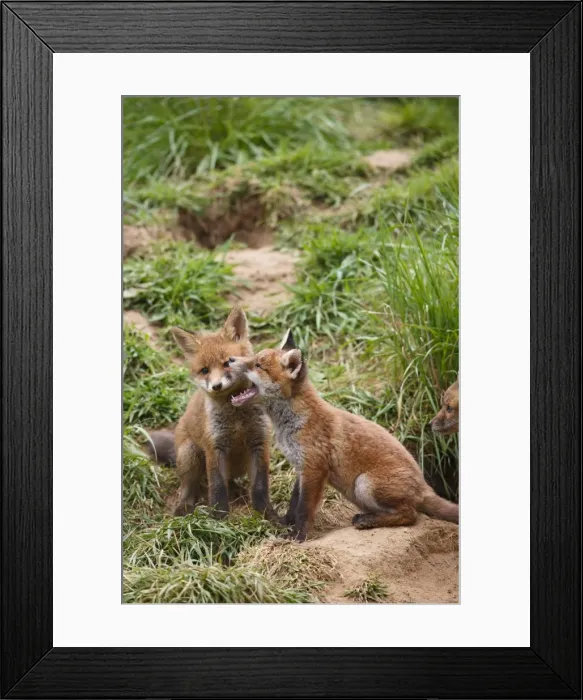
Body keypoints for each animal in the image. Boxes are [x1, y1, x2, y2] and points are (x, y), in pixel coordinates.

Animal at [163, 306, 277, 521]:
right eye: (204, 370)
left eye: (227, 363)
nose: (216, 386)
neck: (237, 417)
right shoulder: (214, 447)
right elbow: (216, 487)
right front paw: (218, 518)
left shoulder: (260, 443)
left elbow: (260, 486)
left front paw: (266, 513)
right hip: (190, 454)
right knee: (188, 487)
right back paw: (184, 507)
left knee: (230, 481)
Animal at [228, 330, 459, 541]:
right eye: (254, 358)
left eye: (258, 365)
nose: (230, 359)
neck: (292, 424)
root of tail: (424, 485)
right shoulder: (301, 467)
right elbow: (294, 504)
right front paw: (286, 523)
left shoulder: (314, 468)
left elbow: (304, 509)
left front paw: (297, 536)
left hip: (364, 484)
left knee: (410, 514)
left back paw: (366, 520)